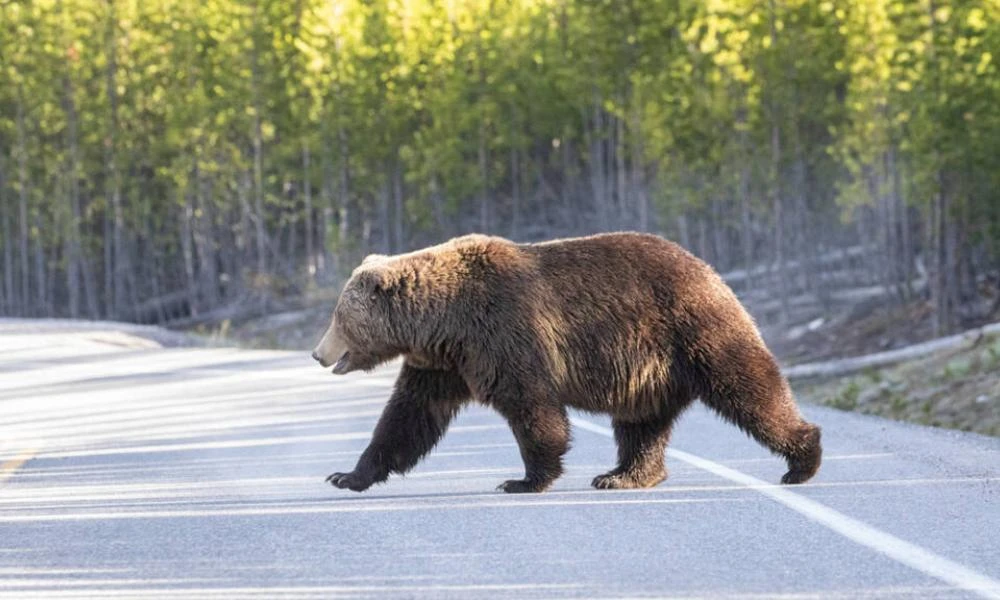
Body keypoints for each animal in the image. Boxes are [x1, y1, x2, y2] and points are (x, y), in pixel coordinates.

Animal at [312, 232, 820, 494]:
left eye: (338, 316)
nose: (319, 353)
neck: (443, 322)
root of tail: (710, 269)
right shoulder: (443, 364)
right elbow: (408, 418)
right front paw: (347, 474)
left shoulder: (504, 332)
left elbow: (532, 407)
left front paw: (524, 479)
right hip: (648, 371)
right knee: (641, 424)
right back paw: (623, 475)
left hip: (692, 329)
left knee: (747, 388)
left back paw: (802, 459)